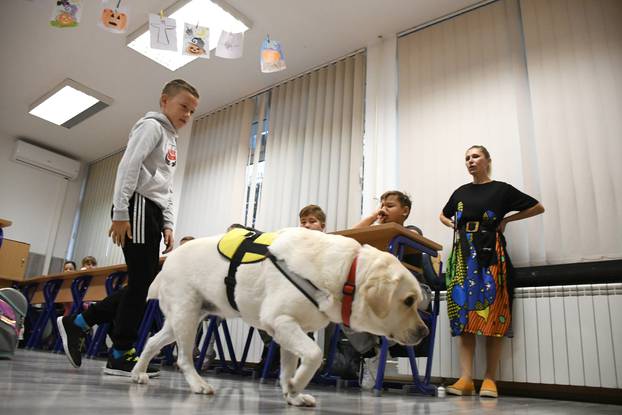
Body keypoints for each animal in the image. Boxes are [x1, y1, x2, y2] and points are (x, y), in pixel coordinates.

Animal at [133, 228, 428, 406]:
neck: (348, 275)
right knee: (183, 358)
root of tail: (168, 260)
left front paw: (293, 394)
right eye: (408, 301)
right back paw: (198, 384)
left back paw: (138, 374)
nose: (424, 332)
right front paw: (297, 384)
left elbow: (289, 365)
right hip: (187, 316)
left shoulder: (289, 329)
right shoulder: (280, 321)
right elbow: (313, 355)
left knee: (151, 343)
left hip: (183, 320)